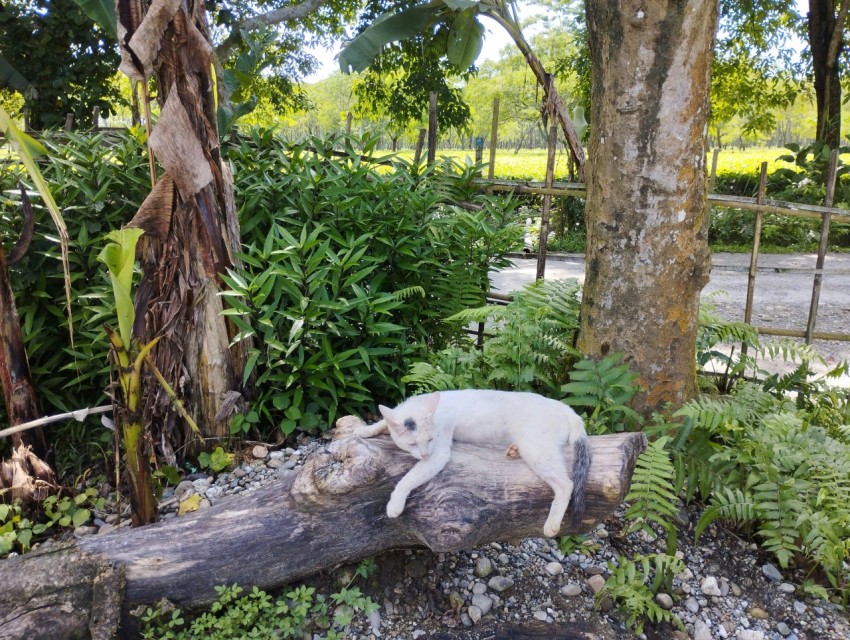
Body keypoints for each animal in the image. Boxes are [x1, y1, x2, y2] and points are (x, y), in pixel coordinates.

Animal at [354, 390, 592, 536]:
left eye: (429, 440)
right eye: (412, 443)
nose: (423, 454)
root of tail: (565, 408)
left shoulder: (439, 454)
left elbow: (407, 479)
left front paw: (395, 505)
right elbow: (383, 421)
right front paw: (363, 430)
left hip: (537, 449)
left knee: (567, 484)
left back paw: (552, 525)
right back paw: (512, 450)